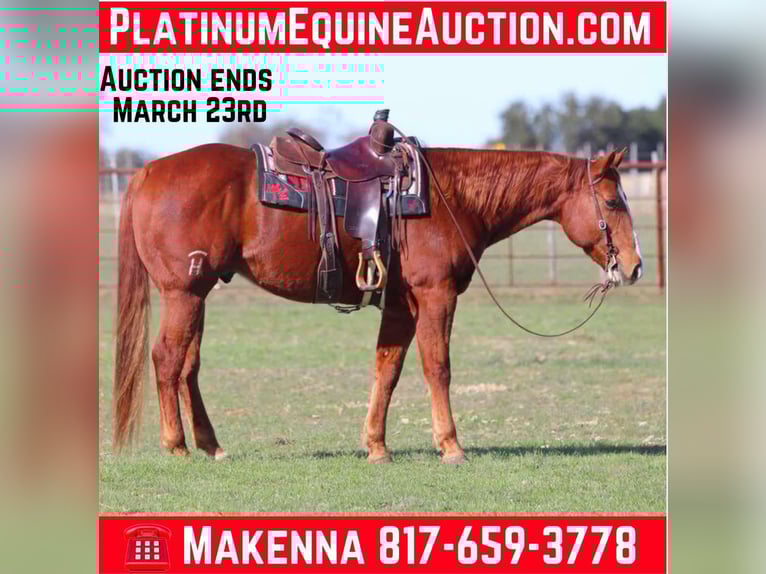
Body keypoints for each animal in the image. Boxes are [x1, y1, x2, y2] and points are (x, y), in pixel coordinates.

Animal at [112, 144, 642, 464]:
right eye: (614, 202)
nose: (635, 266)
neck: (449, 197)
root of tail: (148, 171)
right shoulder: (434, 295)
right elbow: (437, 367)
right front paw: (451, 446)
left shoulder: (401, 306)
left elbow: (387, 369)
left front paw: (377, 446)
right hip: (182, 294)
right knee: (166, 360)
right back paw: (176, 445)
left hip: (197, 296)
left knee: (188, 366)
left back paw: (210, 445)